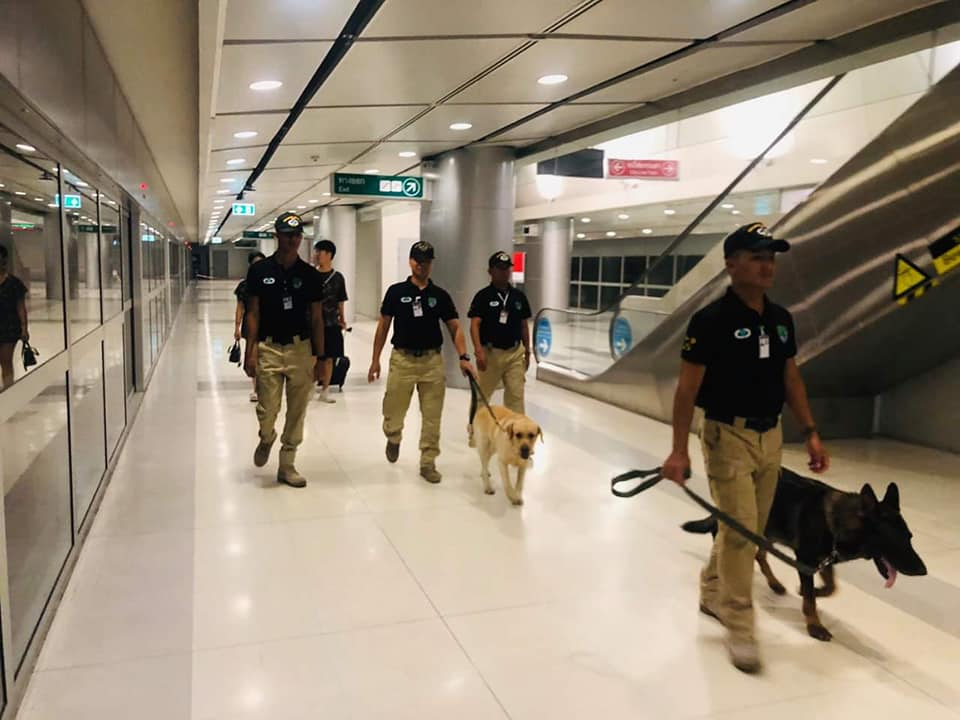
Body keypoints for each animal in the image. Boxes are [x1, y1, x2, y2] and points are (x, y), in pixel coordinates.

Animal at [680, 466, 928, 640]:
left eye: (910, 538)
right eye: (894, 542)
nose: (924, 571)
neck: (838, 521)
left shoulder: (822, 560)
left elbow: (831, 587)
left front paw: (815, 591)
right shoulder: (806, 560)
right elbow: (811, 600)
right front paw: (814, 625)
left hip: (768, 531)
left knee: (760, 555)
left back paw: (774, 583)